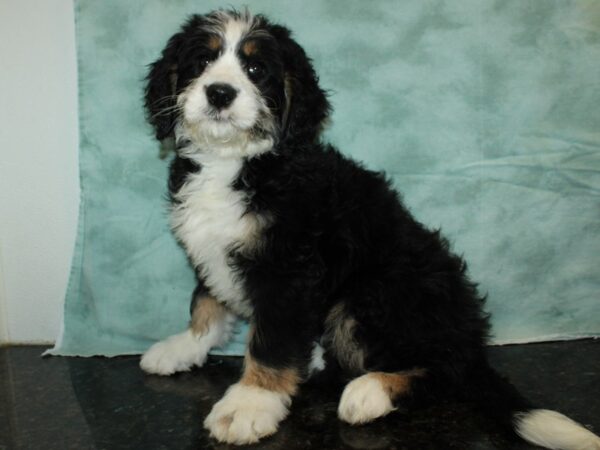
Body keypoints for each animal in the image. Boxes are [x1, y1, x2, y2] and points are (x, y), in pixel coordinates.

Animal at [141, 8, 600, 448]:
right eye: (203, 61)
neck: (236, 162)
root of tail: (470, 341)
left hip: (373, 293)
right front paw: (186, 345)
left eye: (256, 70)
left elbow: (270, 342)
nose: (220, 92)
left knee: (444, 369)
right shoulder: (214, 246)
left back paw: (370, 392)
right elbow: (205, 300)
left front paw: (249, 404)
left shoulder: (287, 270)